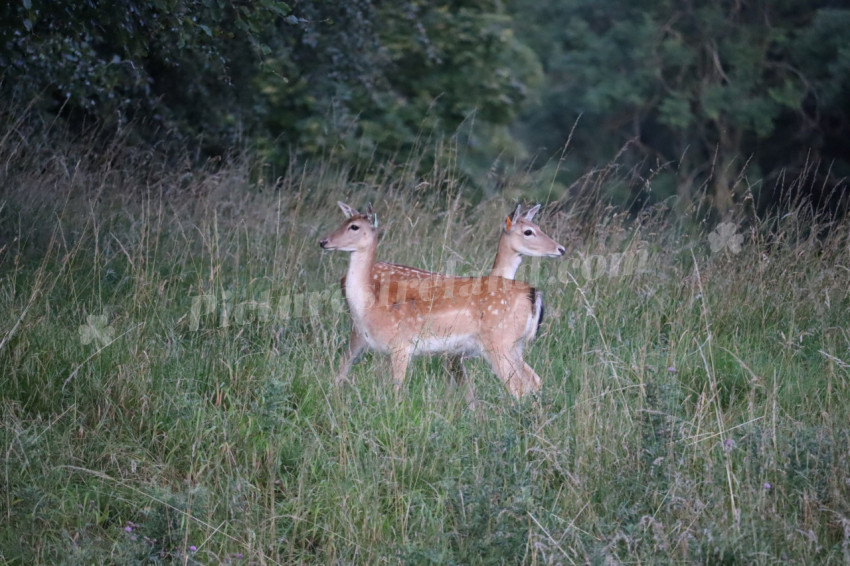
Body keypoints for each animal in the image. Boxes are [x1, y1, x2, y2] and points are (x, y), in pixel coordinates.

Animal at [320, 203, 548, 400]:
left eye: (354, 226)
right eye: (345, 222)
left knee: (520, 386)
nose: (324, 241)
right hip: (511, 345)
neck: (372, 308)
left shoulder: (402, 346)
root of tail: (533, 293)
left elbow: (397, 390)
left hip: (500, 342)